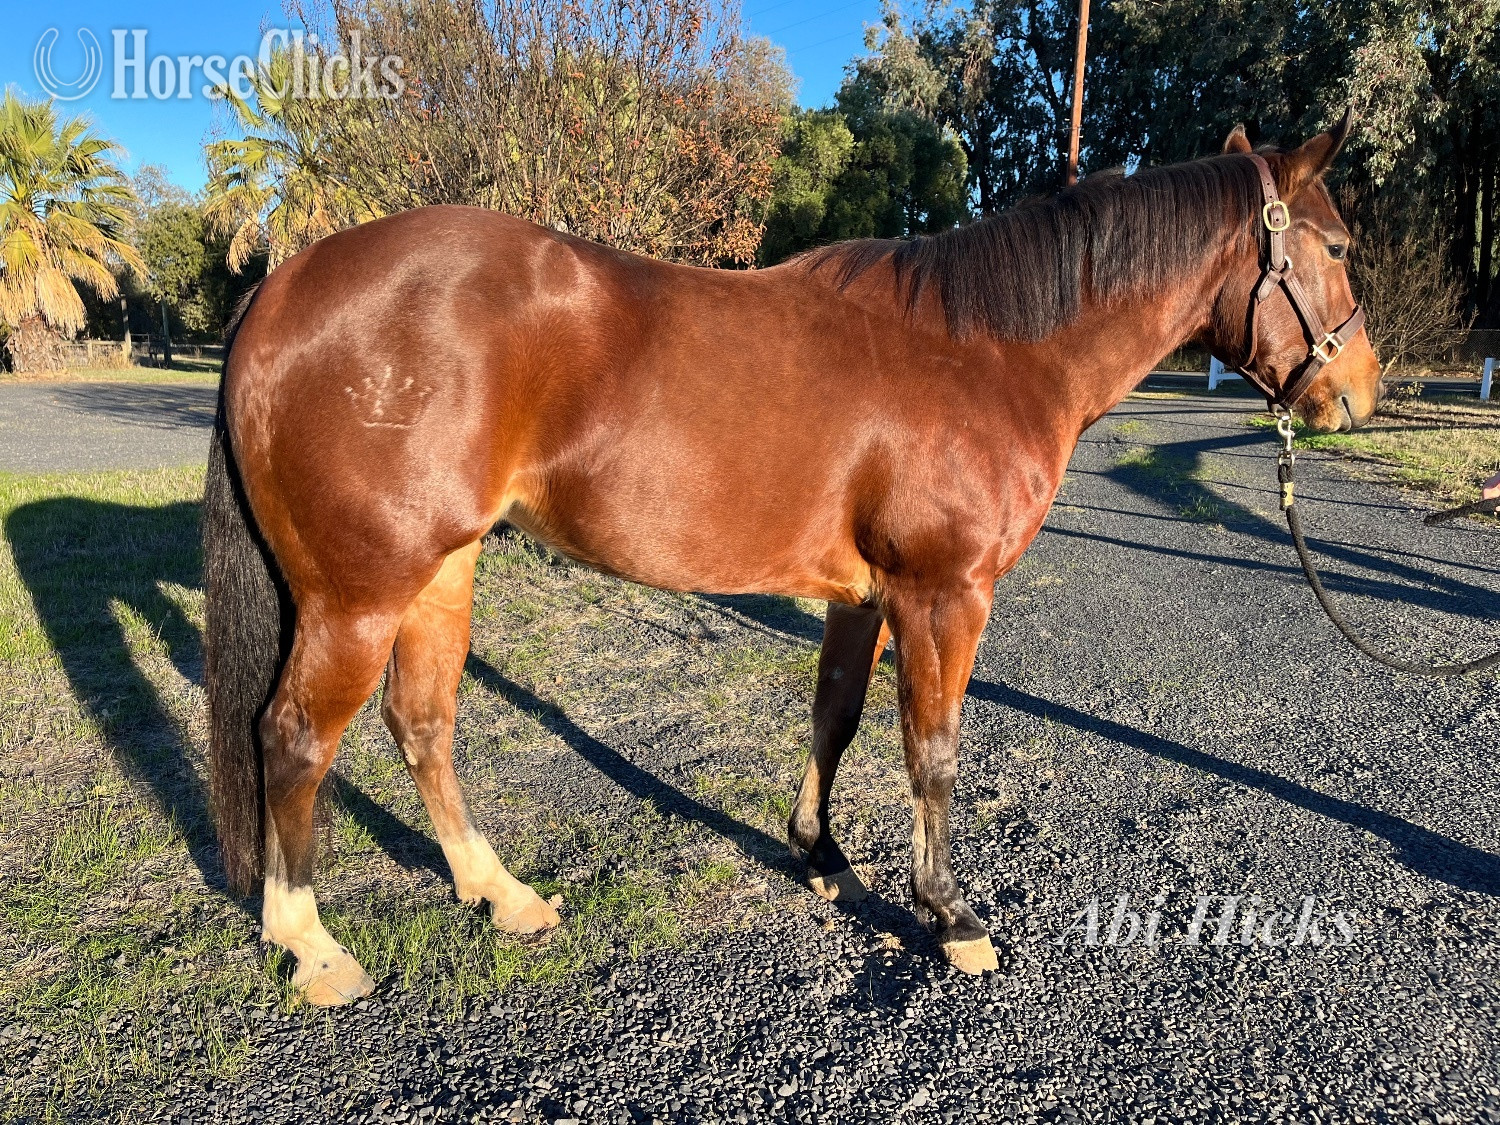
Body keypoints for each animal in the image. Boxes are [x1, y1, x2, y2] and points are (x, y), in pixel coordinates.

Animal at [203, 112, 1381, 1005]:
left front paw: (819, 855)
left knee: (423, 724)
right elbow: (932, 751)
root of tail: (286, 285)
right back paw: (313, 948)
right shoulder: (943, 595)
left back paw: (503, 894)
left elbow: (837, 718)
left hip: (441, 572)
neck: (987, 350)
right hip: (360, 593)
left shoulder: (863, 596)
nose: (1360, 392)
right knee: (295, 739)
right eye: (1335, 248)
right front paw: (950, 914)